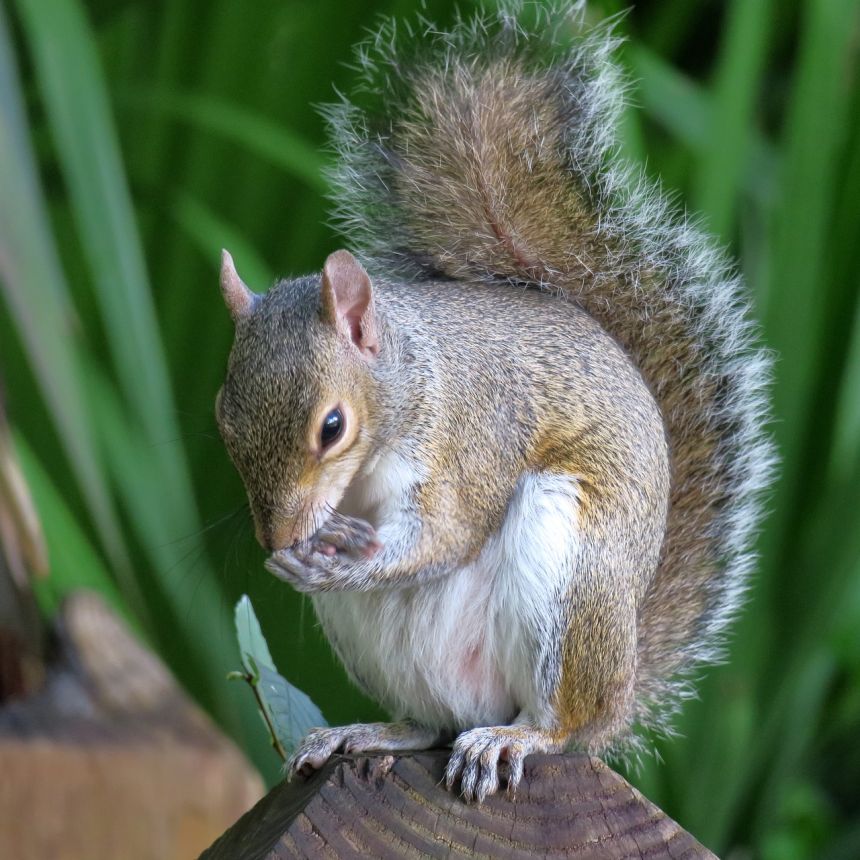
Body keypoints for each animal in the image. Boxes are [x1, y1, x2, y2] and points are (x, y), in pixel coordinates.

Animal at [213, 3, 772, 804]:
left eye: (332, 426)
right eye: (223, 422)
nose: (278, 536)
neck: (410, 386)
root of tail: (624, 683)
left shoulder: (472, 439)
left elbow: (448, 533)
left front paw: (342, 562)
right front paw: (307, 553)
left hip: (567, 577)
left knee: (559, 723)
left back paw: (517, 737)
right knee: (430, 722)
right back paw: (368, 731)